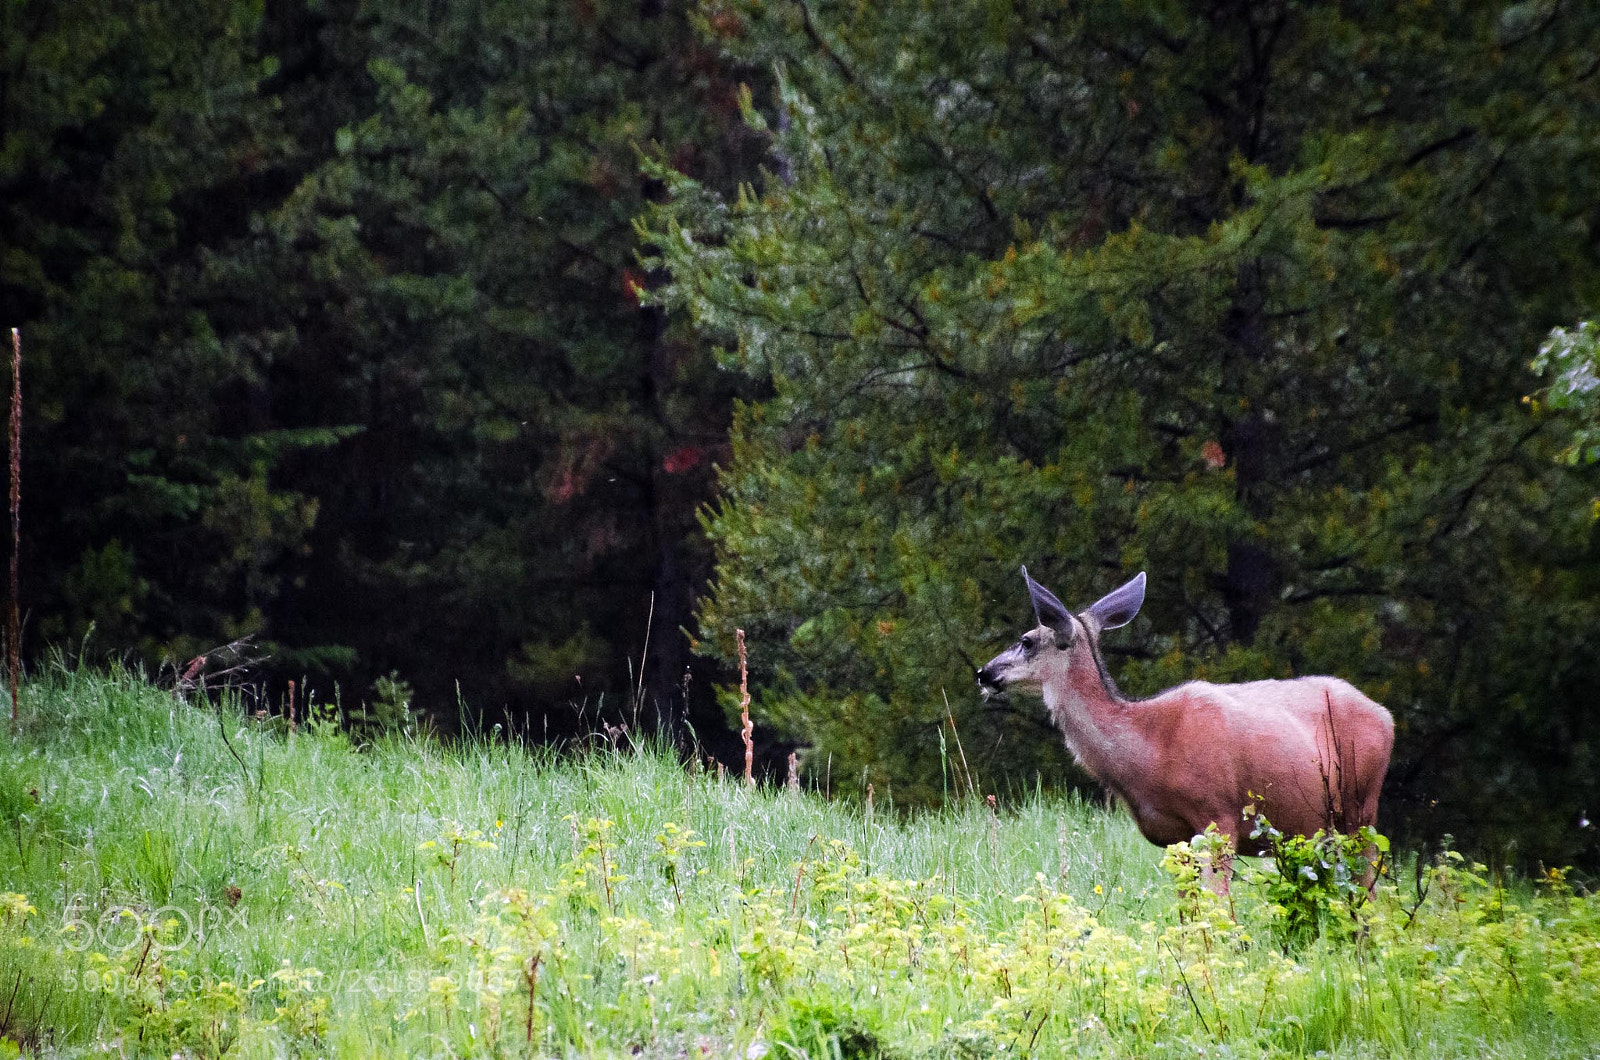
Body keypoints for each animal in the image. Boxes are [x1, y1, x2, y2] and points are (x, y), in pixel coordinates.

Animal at [976, 568, 1394, 893]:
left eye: (1027, 640)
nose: (984, 672)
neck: (1152, 748)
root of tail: (1386, 716)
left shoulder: (1219, 815)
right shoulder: (1175, 838)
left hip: (1362, 805)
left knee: (1368, 885)